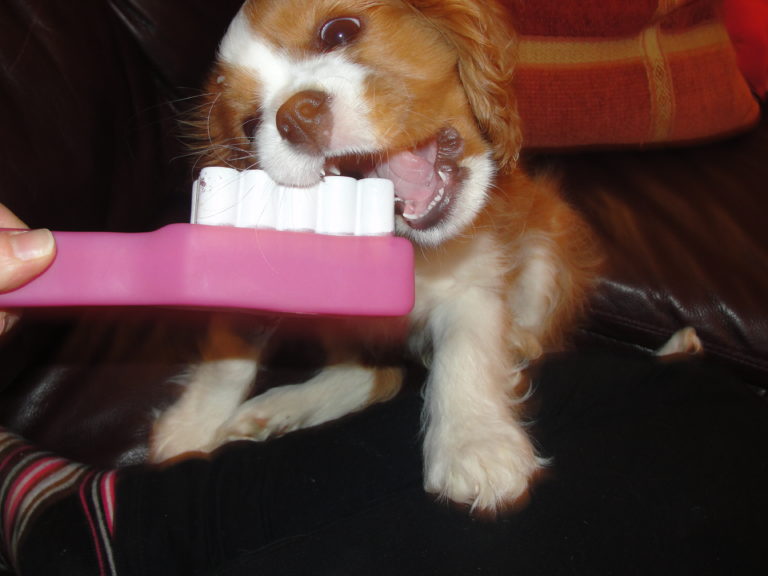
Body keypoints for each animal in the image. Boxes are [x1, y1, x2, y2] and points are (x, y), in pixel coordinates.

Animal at [150, 0, 600, 512]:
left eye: (340, 31)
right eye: (249, 126)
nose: (296, 117)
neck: (409, 248)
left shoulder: (476, 277)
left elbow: (466, 350)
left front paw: (477, 444)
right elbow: (227, 357)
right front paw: (189, 427)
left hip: (550, 244)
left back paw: (519, 343)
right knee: (375, 375)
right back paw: (278, 408)